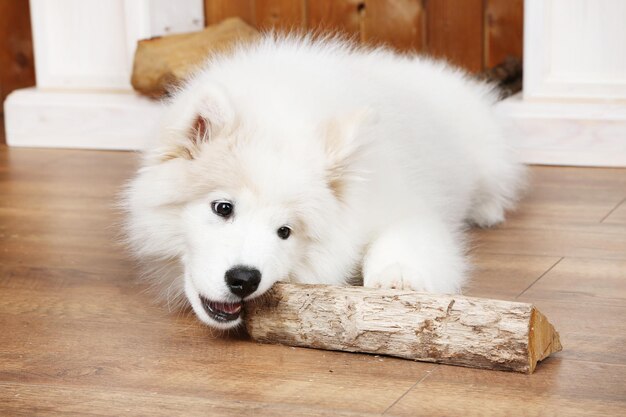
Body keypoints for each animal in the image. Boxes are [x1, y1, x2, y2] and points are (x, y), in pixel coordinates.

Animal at [122, 35, 520, 328]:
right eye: (223, 208)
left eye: (285, 231)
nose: (244, 279)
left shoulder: (402, 204)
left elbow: (404, 239)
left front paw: (397, 277)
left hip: (488, 157)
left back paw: (486, 212)